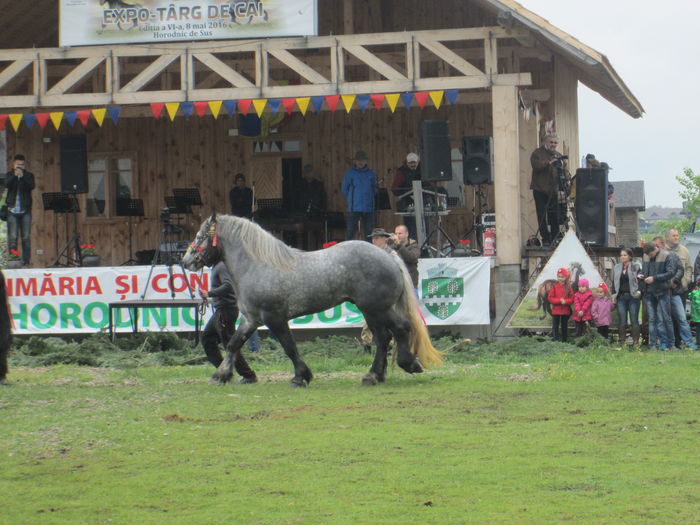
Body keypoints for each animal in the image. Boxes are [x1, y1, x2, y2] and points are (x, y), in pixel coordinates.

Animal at [183, 214, 440, 388]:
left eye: (200, 235)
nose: (186, 260)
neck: (259, 265)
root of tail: (388, 256)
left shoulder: (274, 318)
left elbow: (289, 346)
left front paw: (300, 376)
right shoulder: (252, 319)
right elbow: (234, 344)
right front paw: (221, 374)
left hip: (378, 309)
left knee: (401, 329)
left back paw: (407, 364)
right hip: (371, 311)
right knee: (383, 338)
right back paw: (373, 375)